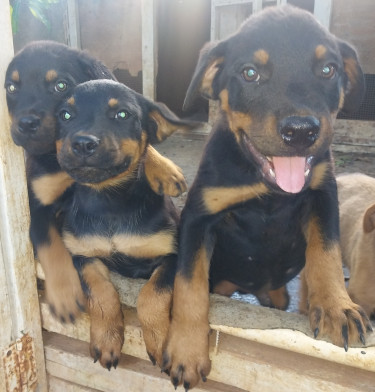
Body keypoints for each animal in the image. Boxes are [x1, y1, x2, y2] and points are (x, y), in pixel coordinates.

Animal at [4, 40, 188, 322]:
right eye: (12, 88)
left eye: (60, 85)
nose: (25, 124)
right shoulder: (38, 206)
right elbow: (52, 246)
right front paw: (65, 295)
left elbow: (144, 145)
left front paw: (165, 171)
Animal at [55, 80, 195, 370]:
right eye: (65, 114)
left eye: (122, 114)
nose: (83, 143)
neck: (110, 200)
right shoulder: (83, 256)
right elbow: (101, 294)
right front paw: (107, 340)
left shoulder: (171, 256)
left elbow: (152, 296)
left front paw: (160, 342)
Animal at [160, 5, 374, 388]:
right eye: (250, 73)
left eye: (328, 69)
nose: (301, 132)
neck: (268, 186)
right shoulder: (199, 217)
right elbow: (189, 285)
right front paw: (186, 348)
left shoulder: (323, 196)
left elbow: (327, 252)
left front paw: (337, 306)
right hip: (223, 283)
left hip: (277, 296)